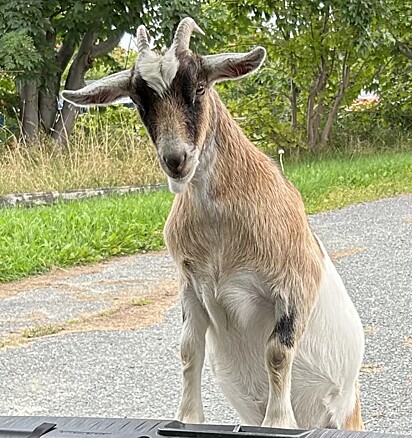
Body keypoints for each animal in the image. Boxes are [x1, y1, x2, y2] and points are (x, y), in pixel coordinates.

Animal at [61, 16, 364, 428]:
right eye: (137, 101)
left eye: (201, 87)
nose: (176, 160)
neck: (222, 233)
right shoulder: (191, 285)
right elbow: (189, 348)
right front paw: (188, 417)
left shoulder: (296, 281)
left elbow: (277, 352)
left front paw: (278, 423)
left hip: (345, 411)